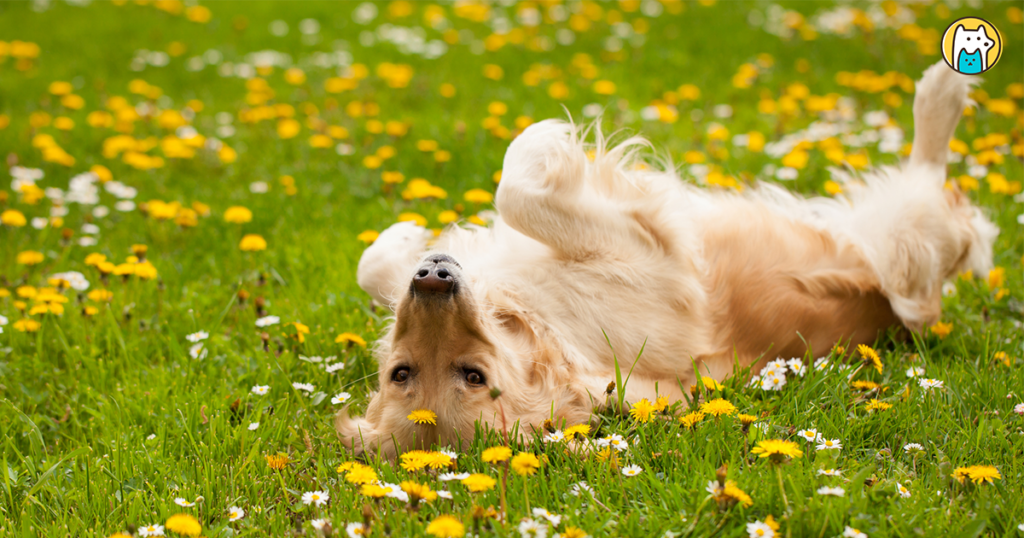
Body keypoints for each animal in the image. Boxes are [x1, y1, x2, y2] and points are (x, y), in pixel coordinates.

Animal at [339, 63, 995, 457]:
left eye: (397, 372)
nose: (434, 277)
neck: (541, 324)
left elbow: (379, 264)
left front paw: (402, 237)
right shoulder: (657, 253)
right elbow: (517, 189)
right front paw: (546, 142)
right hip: (904, 240)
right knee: (938, 194)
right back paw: (943, 90)